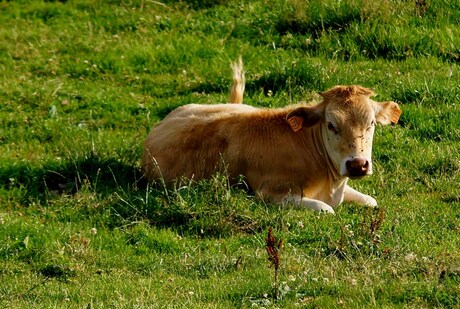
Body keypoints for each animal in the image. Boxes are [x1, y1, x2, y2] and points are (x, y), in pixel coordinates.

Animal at [142, 60, 400, 212]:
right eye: (330, 125)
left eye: (371, 123)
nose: (357, 164)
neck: (330, 184)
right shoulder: (268, 193)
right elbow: (325, 209)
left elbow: (371, 201)